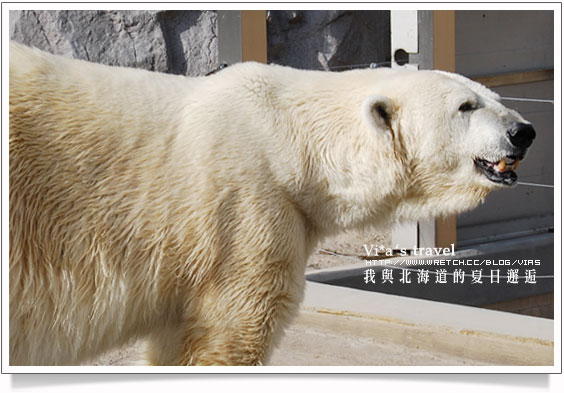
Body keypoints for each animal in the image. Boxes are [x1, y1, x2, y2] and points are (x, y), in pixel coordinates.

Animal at [11, 42, 536, 364]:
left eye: (491, 95)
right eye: (466, 106)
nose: (523, 131)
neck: (289, 143)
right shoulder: (244, 214)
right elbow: (229, 332)